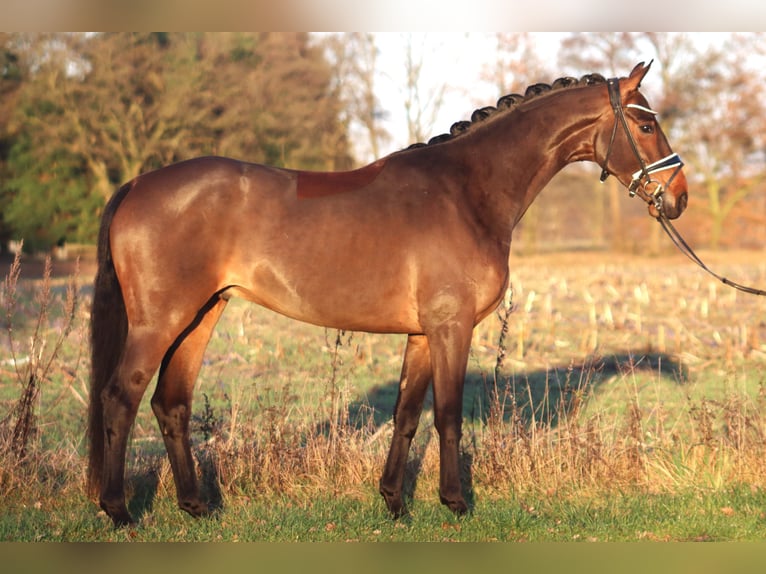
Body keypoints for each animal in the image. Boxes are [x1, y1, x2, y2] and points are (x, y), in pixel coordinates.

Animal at [85, 60, 688, 528]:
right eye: (644, 123)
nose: (679, 196)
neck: (466, 191)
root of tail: (139, 184)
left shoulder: (422, 334)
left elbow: (407, 414)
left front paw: (395, 502)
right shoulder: (451, 327)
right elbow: (448, 415)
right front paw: (455, 502)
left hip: (202, 314)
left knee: (171, 403)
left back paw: (195, 506)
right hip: (160, 320)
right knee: (121, 396)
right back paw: (118, 510)